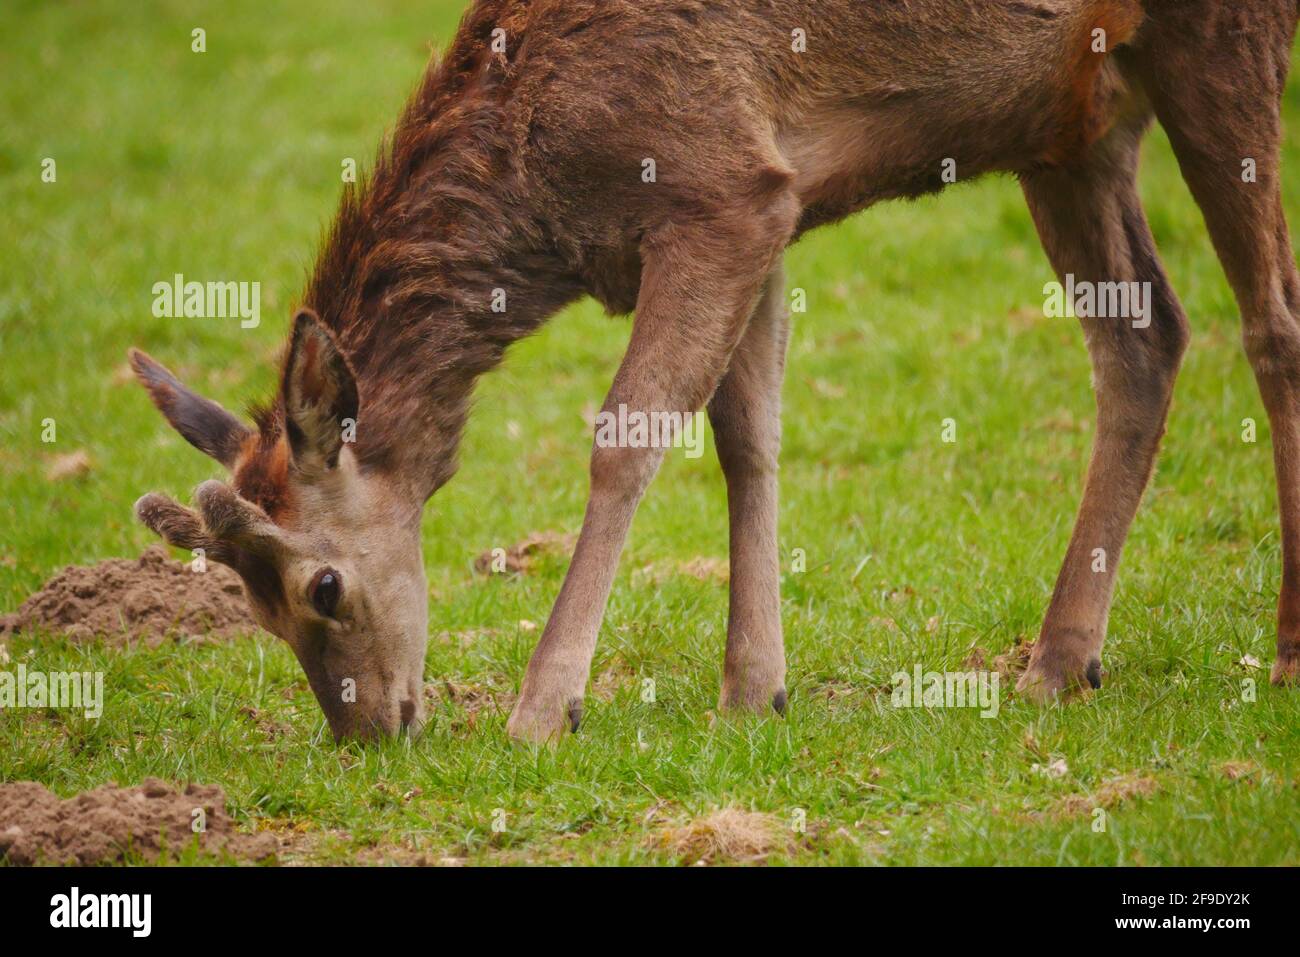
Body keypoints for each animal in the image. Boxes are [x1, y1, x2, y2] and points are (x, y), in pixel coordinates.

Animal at [129, 0, 1300, 743]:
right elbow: (747, 434)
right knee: (1146, 338)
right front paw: (754, 691)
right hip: (1070, 123)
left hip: (1217, 38)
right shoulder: (770, 201)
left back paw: (1282, 651)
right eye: (251, 612)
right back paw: (1059, 661)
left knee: (1271, 324)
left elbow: (628, 438)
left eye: (320, 587)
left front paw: (542, 711)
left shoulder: (720, 185)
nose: (368, 732)